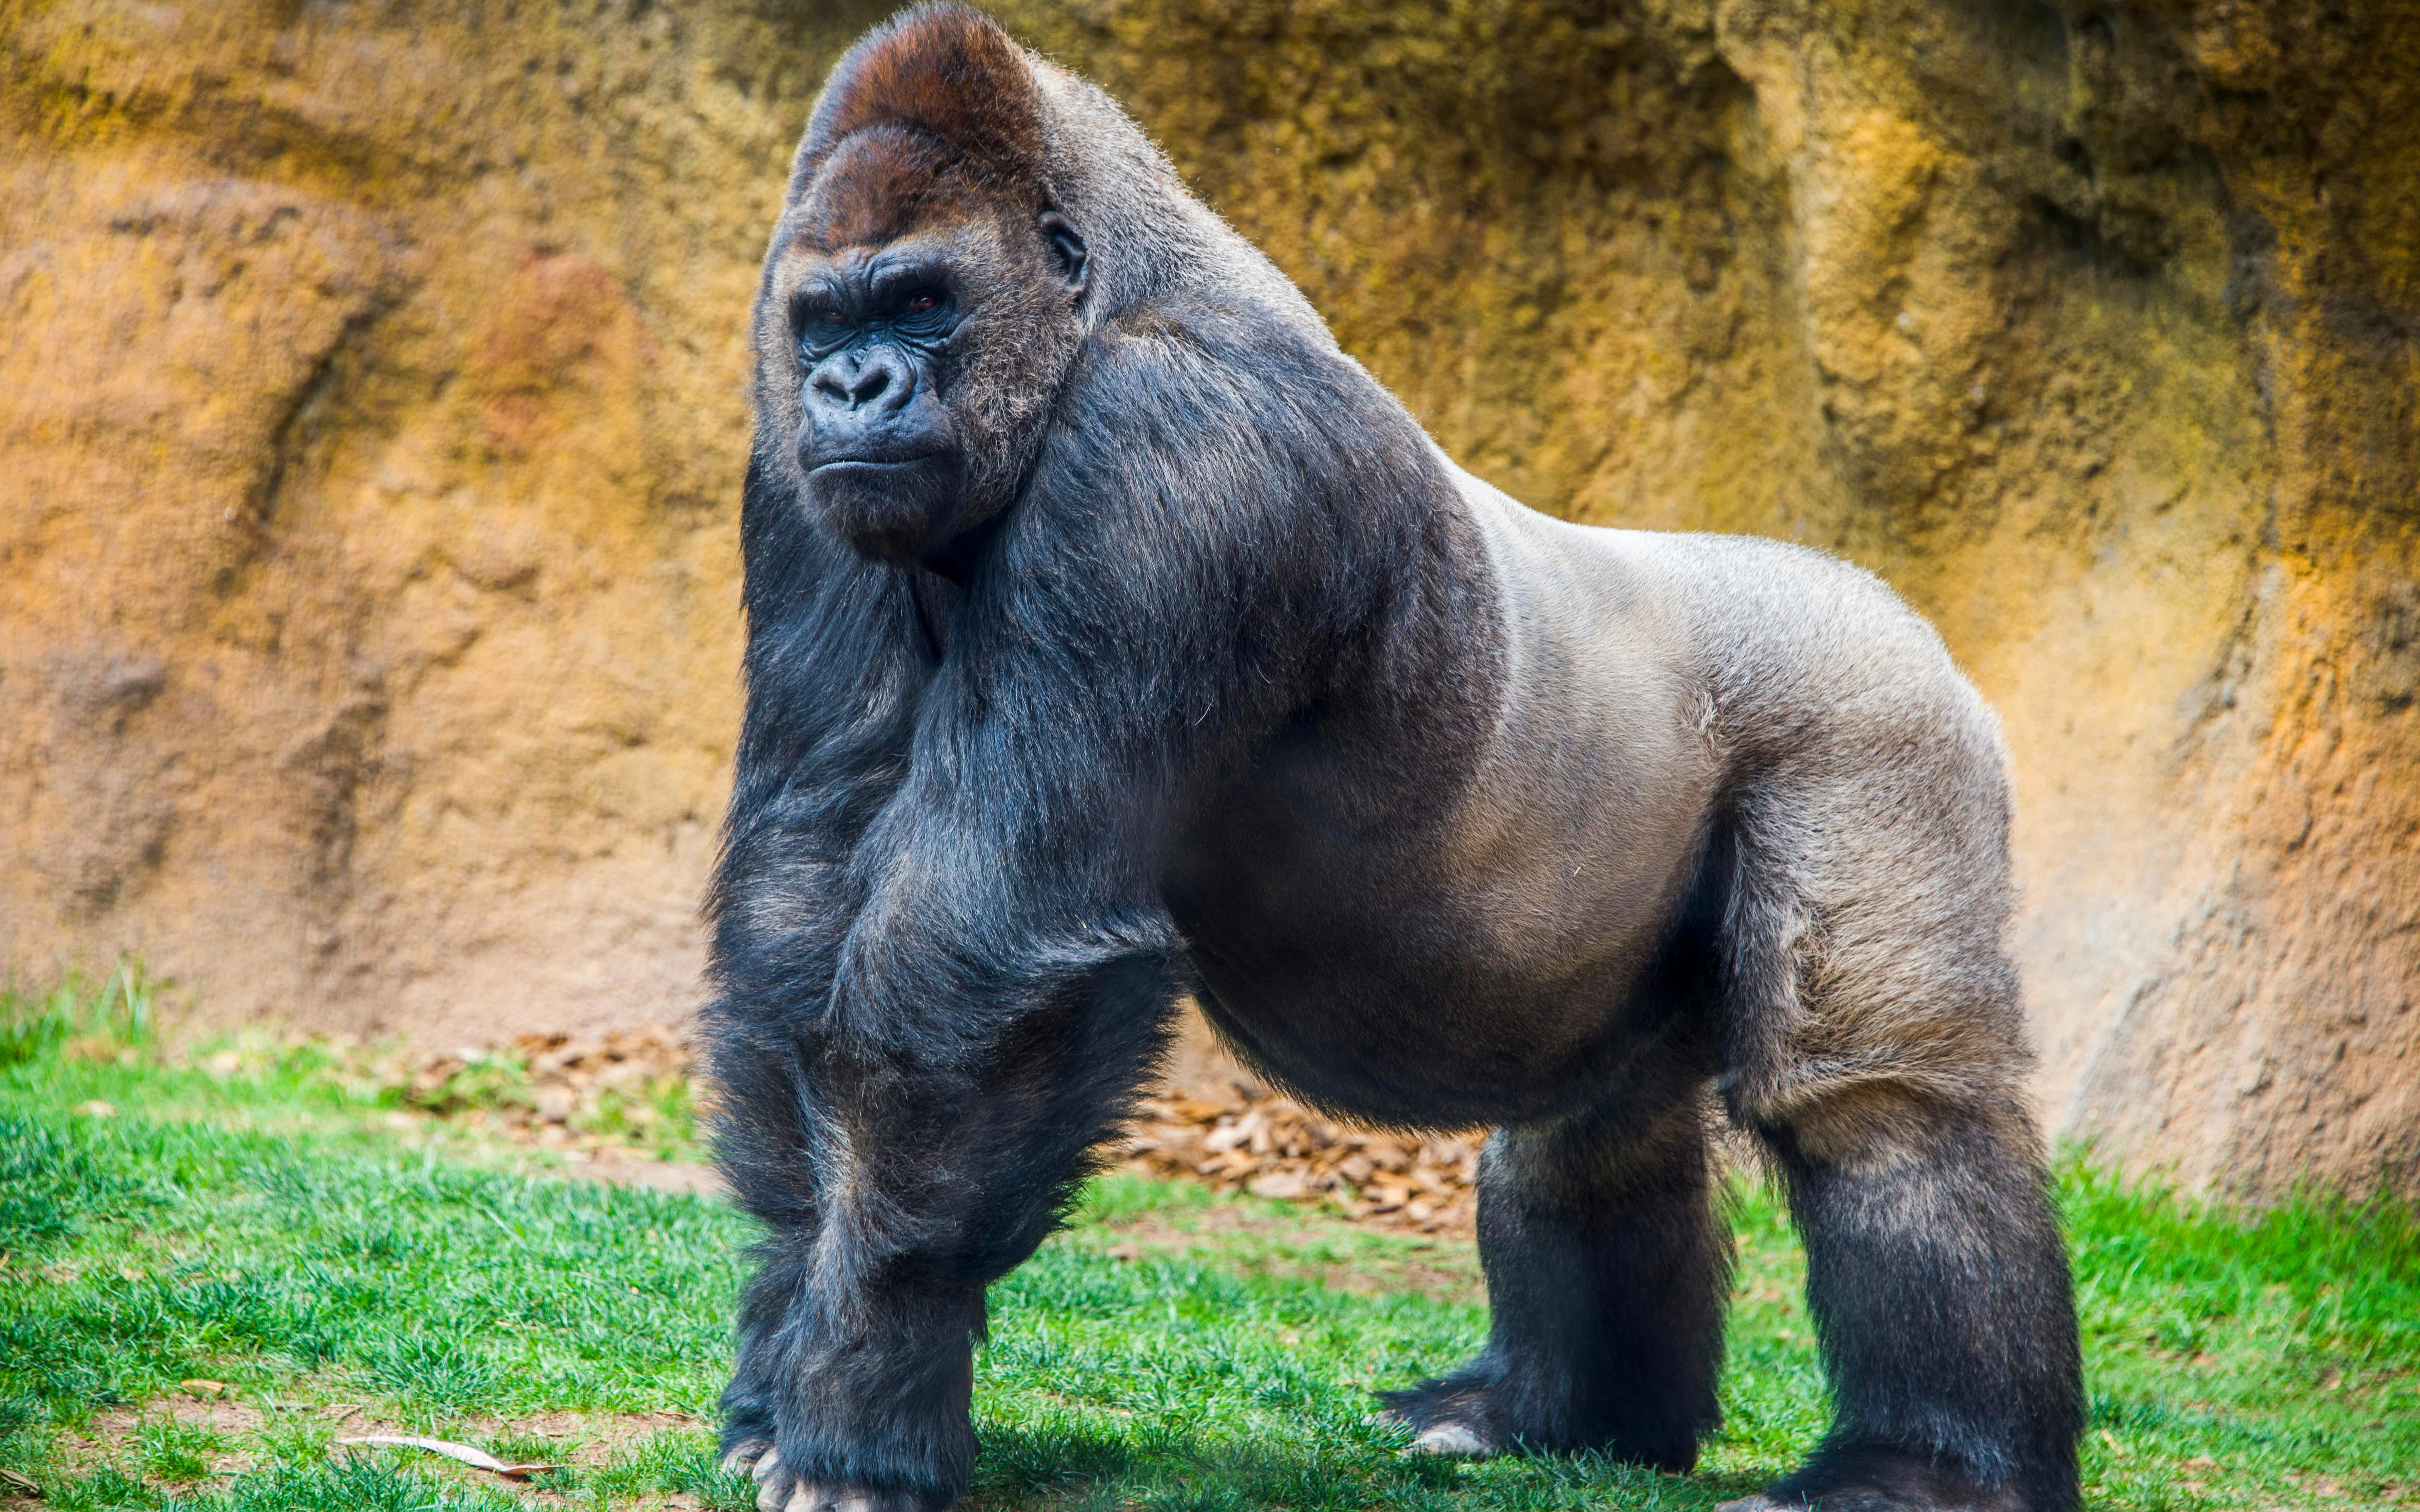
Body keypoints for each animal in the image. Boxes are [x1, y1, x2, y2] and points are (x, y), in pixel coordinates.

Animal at [697, 7, 2084, 1512]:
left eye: (921, 300)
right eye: (827, 319)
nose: (850, 386)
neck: (1109, 291)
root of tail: (1888, 607)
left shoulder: (1173, 455)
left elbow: (980, 946)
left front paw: (866, 1394)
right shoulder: (794, 471)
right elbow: (807, 881)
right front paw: (792, 1341)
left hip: (1874, 721)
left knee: (1880, 1104)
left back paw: (1924, 1463)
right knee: (1592, 1124)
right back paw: (1560, 1415)